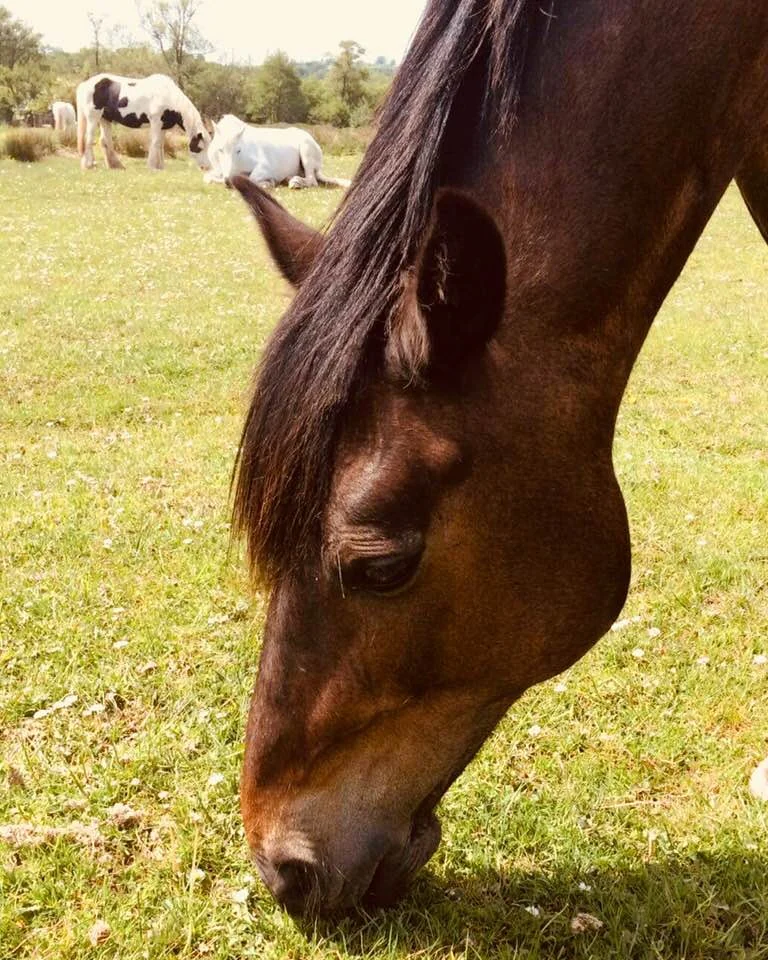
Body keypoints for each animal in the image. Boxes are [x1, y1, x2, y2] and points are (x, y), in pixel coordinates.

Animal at [76, 73, 210, 172]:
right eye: (200, 148)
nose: (206, 167)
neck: (170, 97)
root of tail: (85, 84)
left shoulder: (163, 126)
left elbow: (160, 145)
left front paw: (160, 167)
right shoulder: (156, 122)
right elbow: (155, 143)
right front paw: (152, 167)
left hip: (105, 119)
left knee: (104, 141)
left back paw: (116, 166)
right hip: (93, 117)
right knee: (88, 139)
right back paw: (89, 165)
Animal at [204, 114, 350, 189]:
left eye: (238, 150)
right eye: (220, 150)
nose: (229, 181)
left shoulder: (264, 166)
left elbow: (252, 178)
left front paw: (268, 183)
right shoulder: (218, 171)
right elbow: (208, 178)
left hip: (306, 149)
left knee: (312, 181)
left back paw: (295, 183)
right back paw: (290, 179)